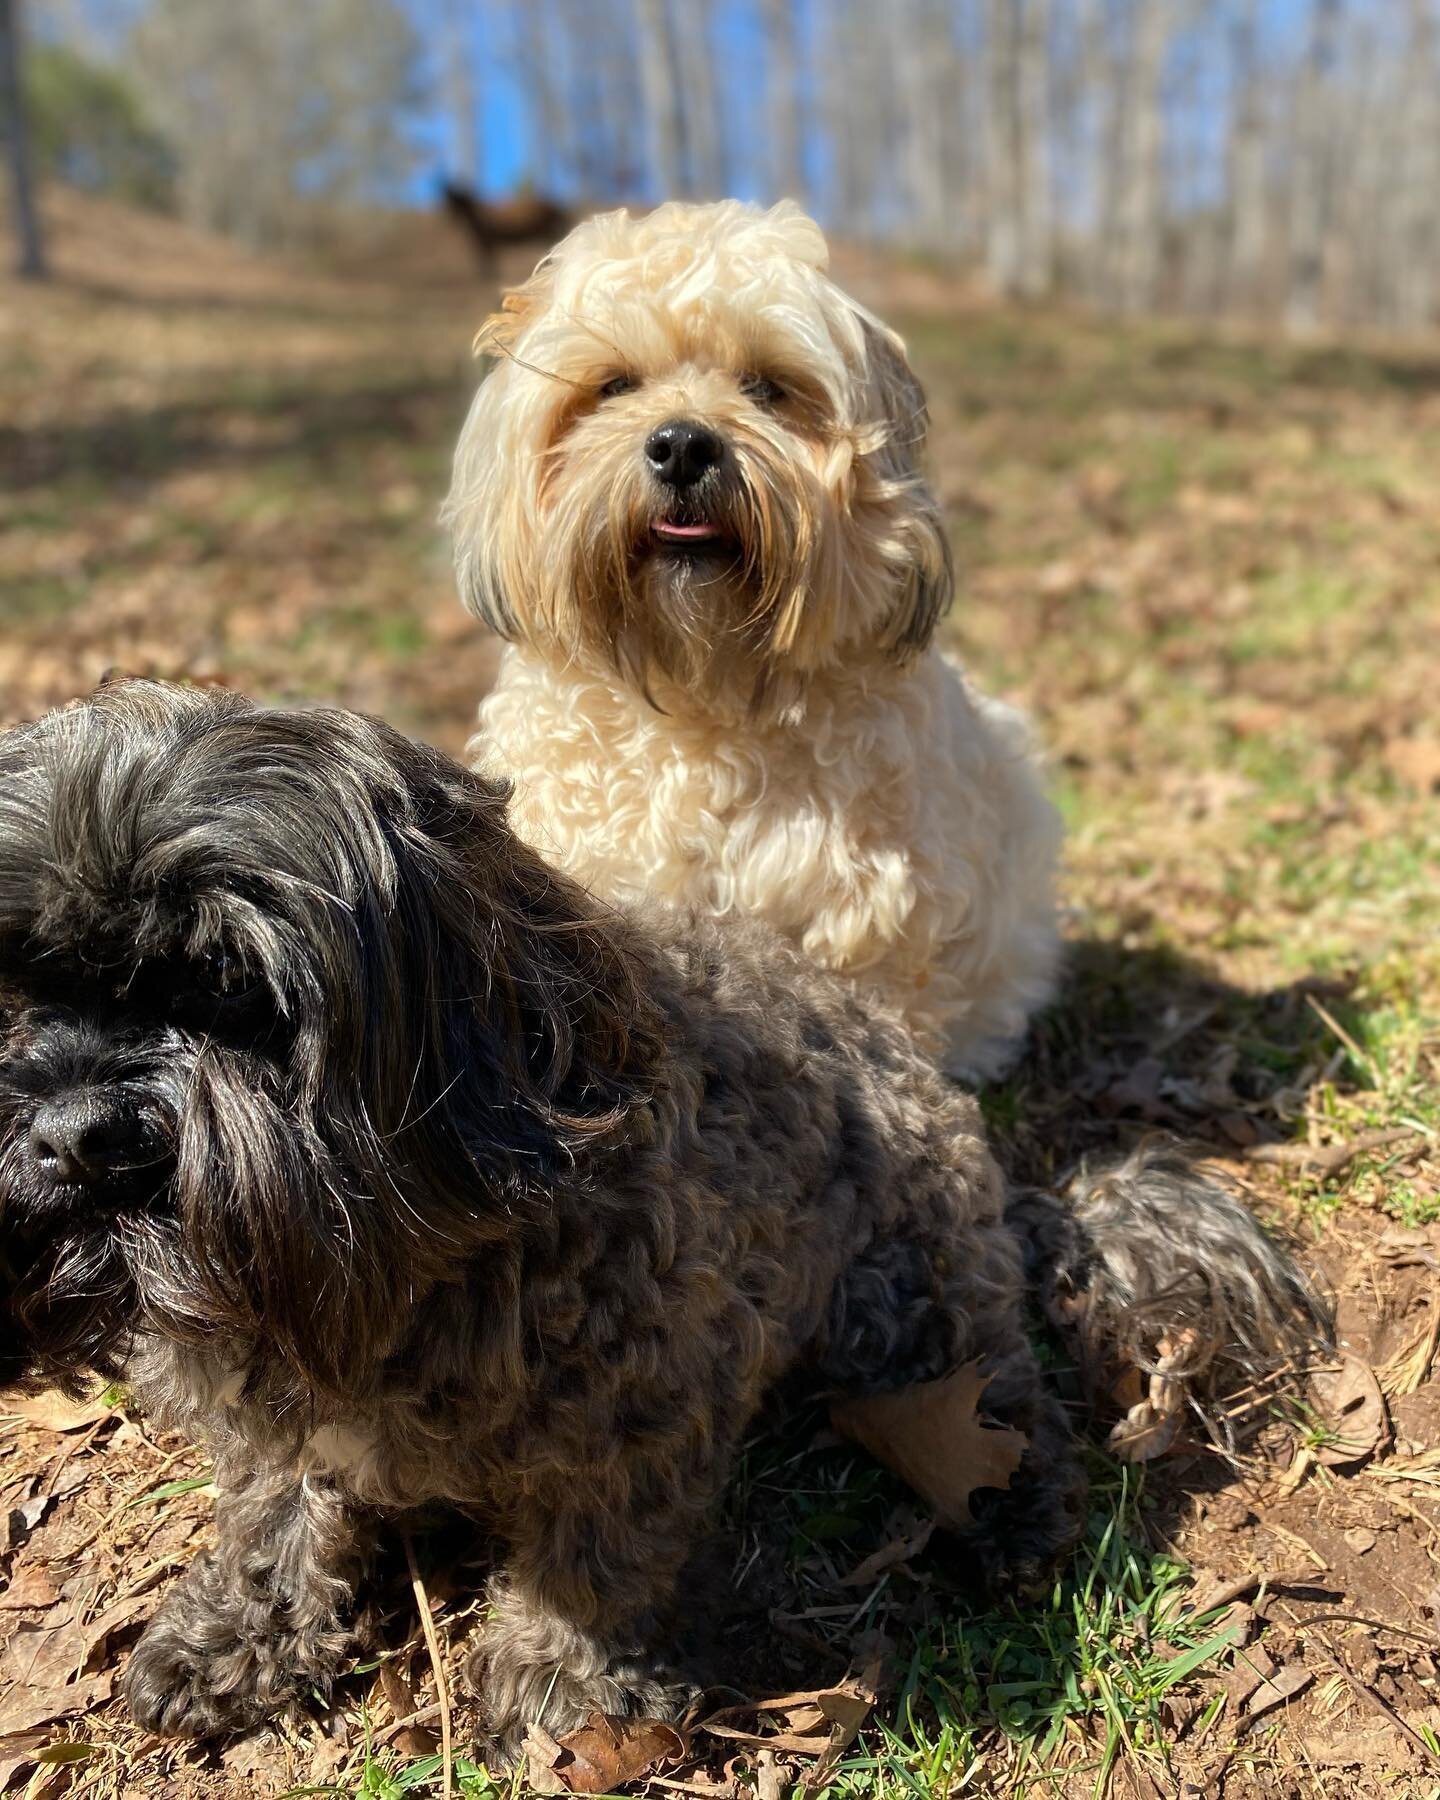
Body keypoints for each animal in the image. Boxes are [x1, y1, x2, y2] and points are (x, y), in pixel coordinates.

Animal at [0, 680, 1324, 1749]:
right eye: (19, 992)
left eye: (233, 990)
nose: (75, 1135)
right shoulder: (272, 1416)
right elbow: (276, 1509)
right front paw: (239, 1631)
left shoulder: (650, 1394)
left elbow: (596, 1552)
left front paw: (567, 1682)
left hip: (903, 1301)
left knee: (1009, 1396)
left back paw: (1011, 1508)